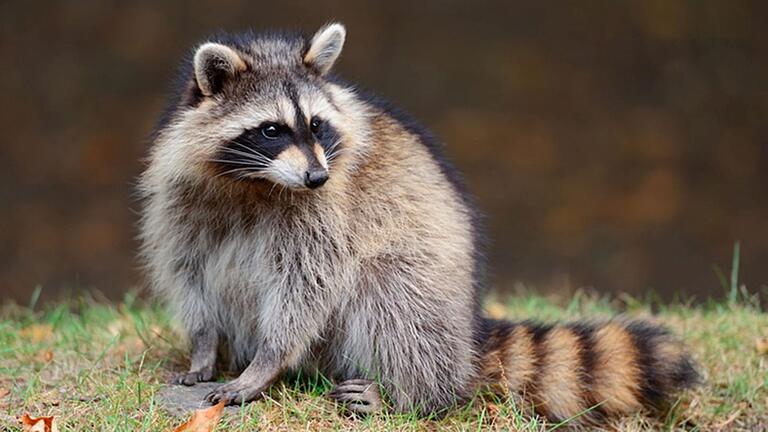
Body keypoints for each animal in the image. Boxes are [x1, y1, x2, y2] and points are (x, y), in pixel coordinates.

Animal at [136, 22, 696, 424]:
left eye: (315, 124)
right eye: (271, 130)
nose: (317, 175)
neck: (256, 181)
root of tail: (469, 331)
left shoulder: (327, 213)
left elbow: (308, 285)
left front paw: (267, 362)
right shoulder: (181, 198)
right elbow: (188, 271)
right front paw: (203, 346)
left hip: (428, 285)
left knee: (391, 294)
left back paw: (411, 393)